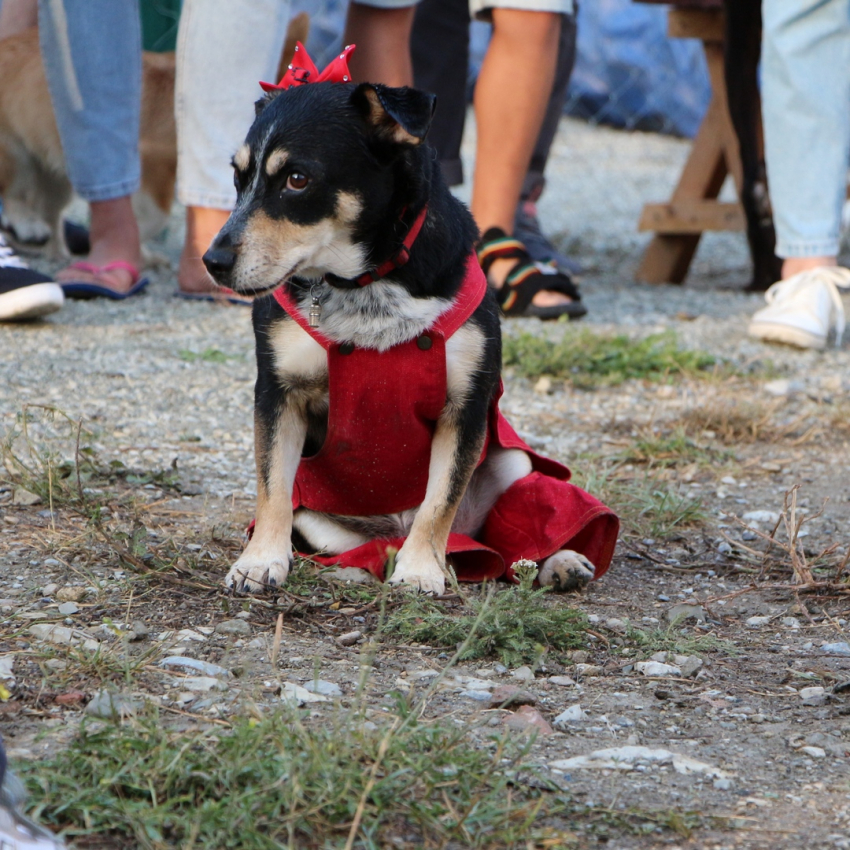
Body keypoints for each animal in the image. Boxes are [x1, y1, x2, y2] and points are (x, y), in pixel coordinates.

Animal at [204, 46, 616, 592]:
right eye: (238, 178)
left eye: (297, 179)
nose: (213, 260)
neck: (366, 281)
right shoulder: (278, 394)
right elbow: (272, 486)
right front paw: (259, 560)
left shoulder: (466, 406)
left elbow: (439, 501)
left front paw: (421, 569)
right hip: (321, 522)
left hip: (512, 460)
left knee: (511, 531)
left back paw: (558, 560)